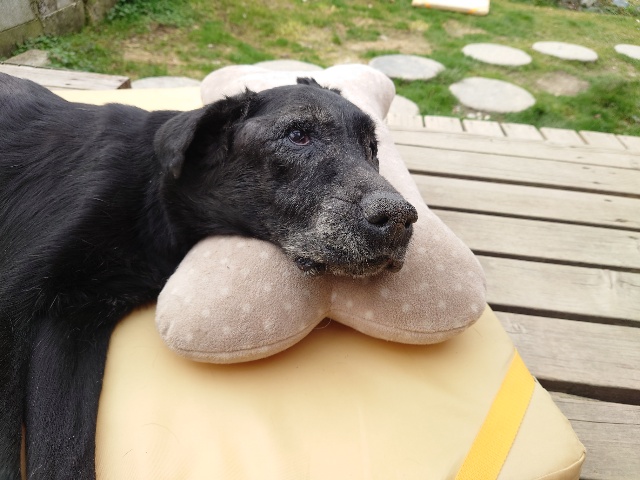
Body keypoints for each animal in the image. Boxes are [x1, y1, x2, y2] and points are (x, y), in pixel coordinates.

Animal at [0, 72, 417, 479]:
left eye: (372, 148)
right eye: (298, 135)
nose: (401, 219)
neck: (155, 192)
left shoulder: (73, 325)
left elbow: (63, 452)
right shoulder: (13, 305)